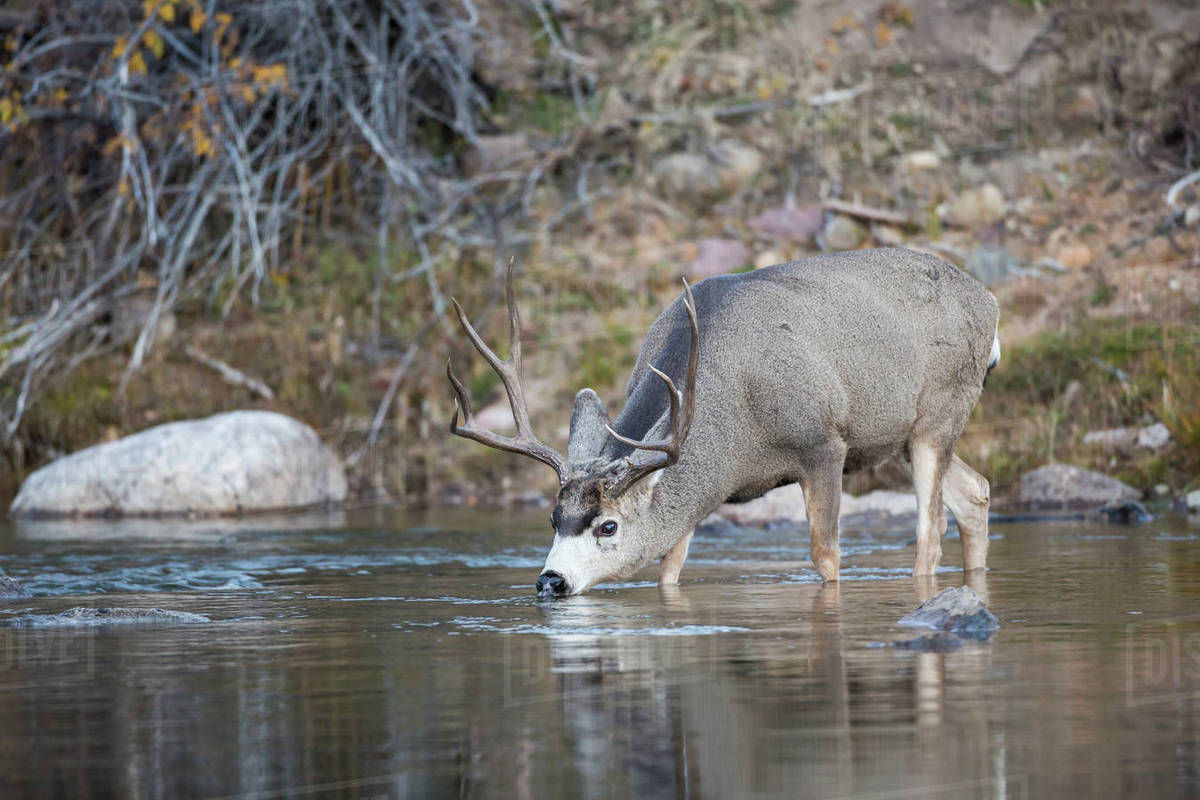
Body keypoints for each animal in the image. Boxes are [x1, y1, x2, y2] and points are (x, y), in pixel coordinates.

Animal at [446, 248, 1000, 597]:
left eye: (608, 525)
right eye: (553, 518)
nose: (550, 581)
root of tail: (989, 302)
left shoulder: (823, 442)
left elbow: (826, 554)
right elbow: (669, 567)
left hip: (938, 412)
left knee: (931, 527)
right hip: (899, 437)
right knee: (975, 491)